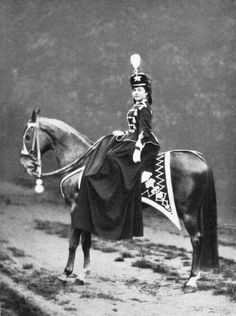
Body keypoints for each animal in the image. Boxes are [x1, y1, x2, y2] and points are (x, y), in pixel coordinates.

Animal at [19, 110, 218, 292]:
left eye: (28, 136)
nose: (26, 165)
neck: (82, 161)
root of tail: (200, 159)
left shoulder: (76, 208)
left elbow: (73, 242)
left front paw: (65, 274)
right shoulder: (85, 211)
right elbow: (86, 242)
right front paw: (83, 275)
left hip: (188, 212)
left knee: (197, 239)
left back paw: (191, 281)